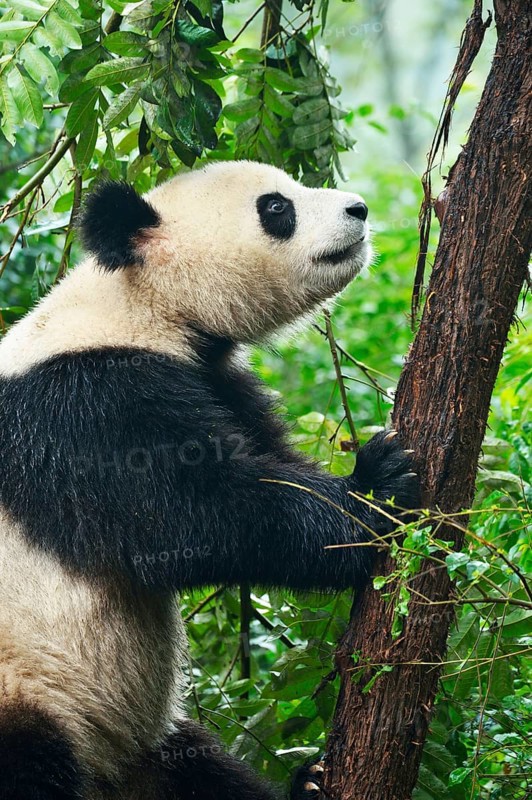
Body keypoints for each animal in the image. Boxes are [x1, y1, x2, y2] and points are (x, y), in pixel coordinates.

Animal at [0, 160, 418, 800]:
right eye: (276, 208)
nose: (359, 209)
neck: (139, 302)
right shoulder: (80, 404)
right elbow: (188, 515)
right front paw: (377, 486)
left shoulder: (216, 376)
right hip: (27, 688)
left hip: (150, 752)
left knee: (201, 773)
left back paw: (307, 785)